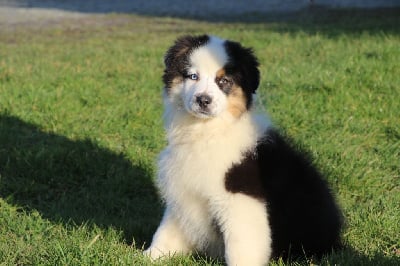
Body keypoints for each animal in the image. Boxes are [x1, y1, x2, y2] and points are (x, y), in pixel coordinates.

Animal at [145, 35, 342, 266]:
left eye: (224, 81)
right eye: (193, 76)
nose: (203, 100)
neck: (208, 132)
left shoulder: (241, 200)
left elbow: (241, 245)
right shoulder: (185, 188)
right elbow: (168, 229)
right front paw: (150, 256)